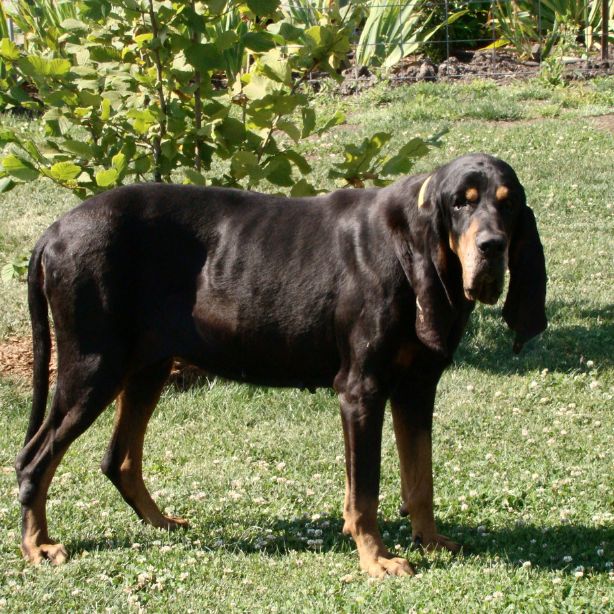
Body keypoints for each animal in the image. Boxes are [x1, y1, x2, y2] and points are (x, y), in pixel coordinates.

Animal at [15, 154, 548, 576]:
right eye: (462, 203)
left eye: (507, 204)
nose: (493, 247)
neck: (409, 246)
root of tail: (52, 233)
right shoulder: (360, 391)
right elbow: (365, 492)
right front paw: (376, 559)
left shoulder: (417, 389)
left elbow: (421, 479)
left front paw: (430, 540)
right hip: (93, 367)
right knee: (34, 459)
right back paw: (37, 546)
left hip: (148, 367)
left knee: (118, 460)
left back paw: (161, 522)